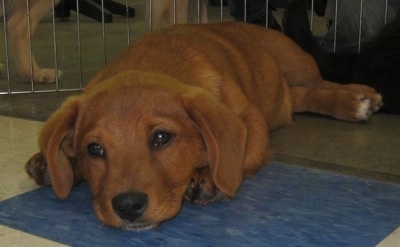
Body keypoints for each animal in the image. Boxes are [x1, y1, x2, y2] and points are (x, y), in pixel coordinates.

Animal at [24, 22, 382, 231]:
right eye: (94, 149)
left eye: (161, 137)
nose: (127, 206)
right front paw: (53, 165)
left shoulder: (250, 121)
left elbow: (234, 162)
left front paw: (208, 176)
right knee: (300, 97)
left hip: (297, 63)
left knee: (321, 86)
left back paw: (357, 99)